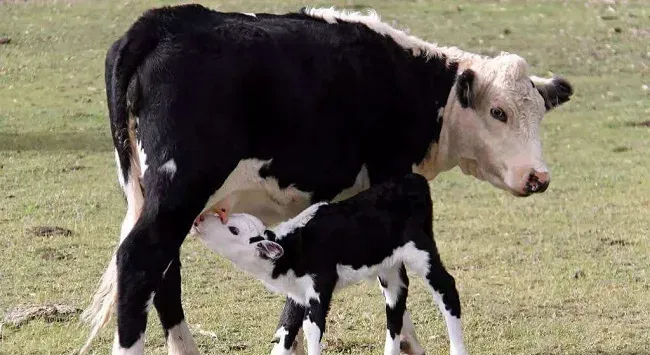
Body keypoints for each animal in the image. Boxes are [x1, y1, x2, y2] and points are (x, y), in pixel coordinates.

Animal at [192, 174, 466, 355]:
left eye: (233, 229)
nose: (199, 220)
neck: (295, 247)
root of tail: (414, 179)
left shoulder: (319, 286)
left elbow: (311, 330)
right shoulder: (298, 293)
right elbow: (286, 330)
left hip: (422, 249)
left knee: (446, 288)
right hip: (389, 265)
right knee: (396, 303)